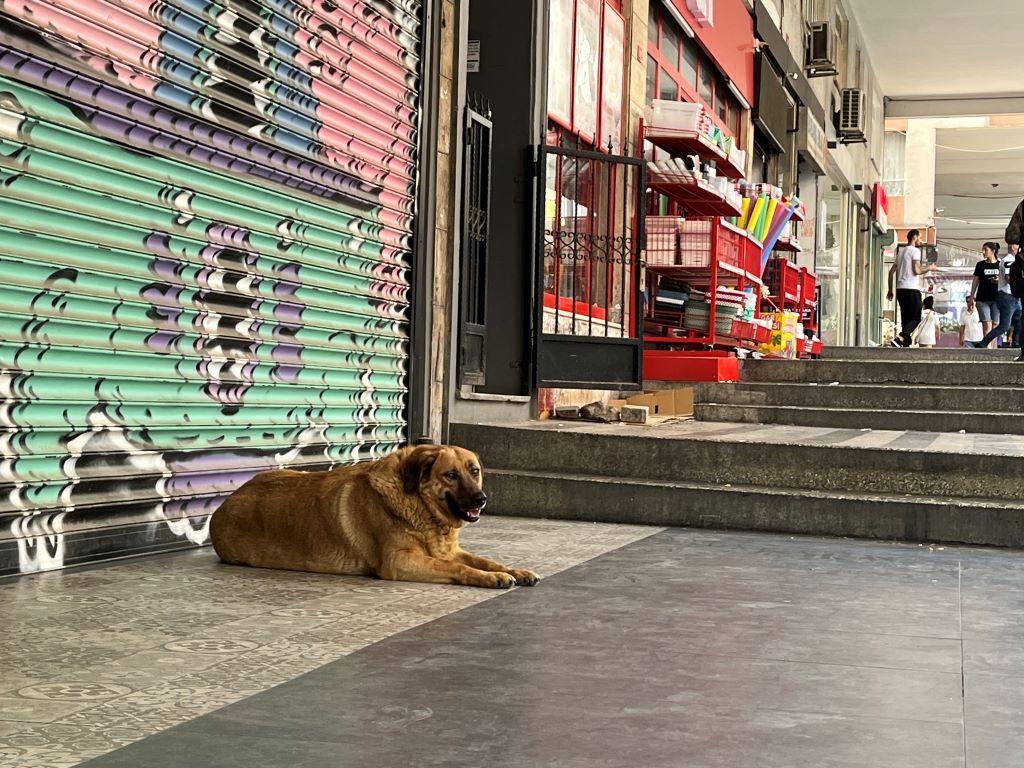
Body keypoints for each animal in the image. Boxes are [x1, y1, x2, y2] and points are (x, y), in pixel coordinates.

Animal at [210, 444, 540, 589]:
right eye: (450, 475)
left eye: (474, 471)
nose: (481, 500)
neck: (419, 505)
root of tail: (224, 503)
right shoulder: (399, 561)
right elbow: (457, 567)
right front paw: (491, 578)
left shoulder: (450, 549)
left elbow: (485, 560)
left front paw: (512, 570)